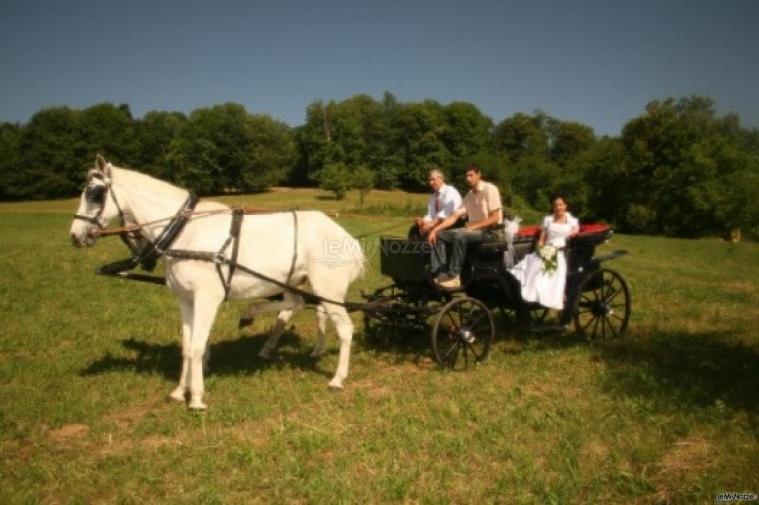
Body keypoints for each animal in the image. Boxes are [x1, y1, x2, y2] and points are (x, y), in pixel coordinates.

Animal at [71, 155, 366, 410]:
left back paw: (337, 379)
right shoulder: (186, 300)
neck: (185, 232)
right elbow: (188, 347)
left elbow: (198, 346)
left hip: (328, 289)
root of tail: (349, 240)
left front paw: (197, 398)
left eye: (95, 194)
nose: (75, 236)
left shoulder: (207, 299)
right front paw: (179, 392)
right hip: (293, 282)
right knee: (297, 304)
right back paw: (253, 320)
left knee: (343, 328)